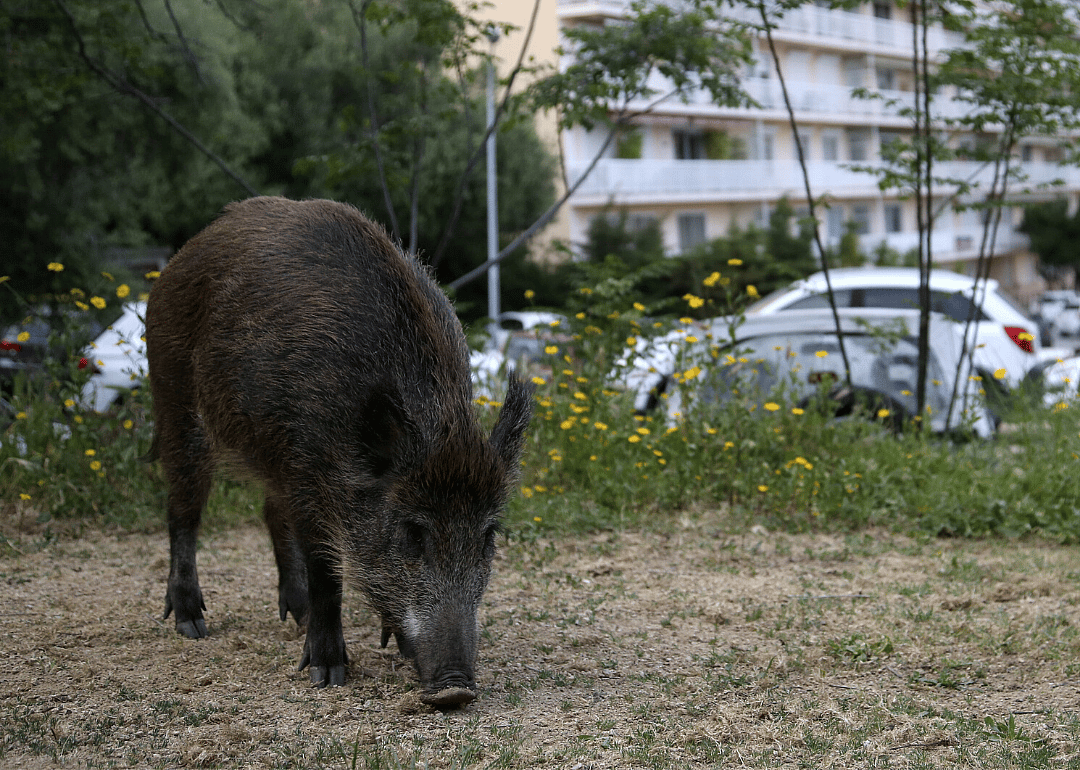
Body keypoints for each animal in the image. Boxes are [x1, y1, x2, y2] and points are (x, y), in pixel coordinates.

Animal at [145, 196, 533, 708]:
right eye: (412, 533)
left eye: (488, 537)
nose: (455, 690)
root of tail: (180, 258)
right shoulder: (309, 471)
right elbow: (327, 571)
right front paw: (328, 674)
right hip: (175, 401)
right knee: (183, 512)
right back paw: (192, 624)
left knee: (270, 512)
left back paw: (296, 615)